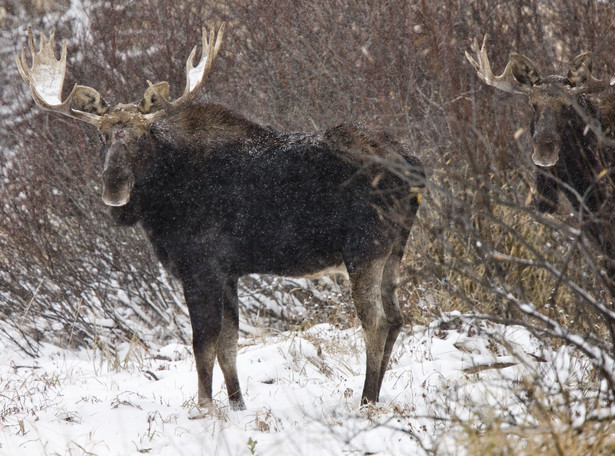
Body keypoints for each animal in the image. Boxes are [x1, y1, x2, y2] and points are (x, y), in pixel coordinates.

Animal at [16, 25, 426, 410]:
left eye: (143, 135)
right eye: (101, 136)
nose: (114, 186)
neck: (161, 204)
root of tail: (412, 164)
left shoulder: (200, 265)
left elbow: (203, 343)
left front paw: (204, 407)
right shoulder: (228, 271)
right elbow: (229, 344)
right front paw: (237, 404)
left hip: (364, 249)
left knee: (376, 322)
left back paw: (366, 399)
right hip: (394, 249)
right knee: (397, 318)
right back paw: (376, 394)